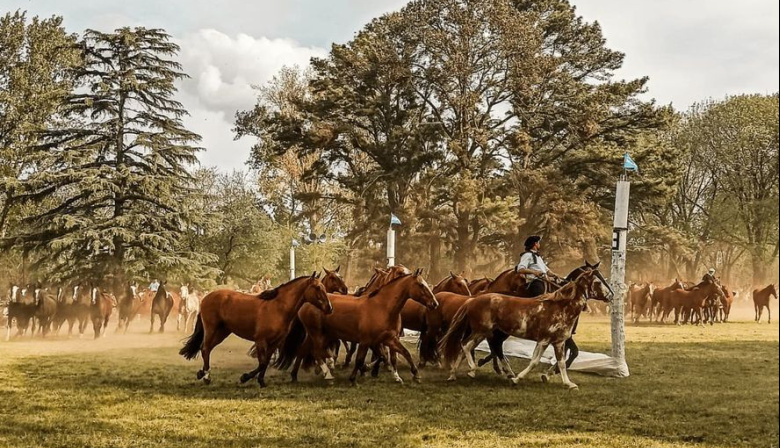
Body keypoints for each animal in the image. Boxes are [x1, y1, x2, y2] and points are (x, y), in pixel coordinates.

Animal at [180, 272, 332, 387]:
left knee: (207, 349)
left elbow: (266, 362)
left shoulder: (274, 343)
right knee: (205, 349)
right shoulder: (261, 341)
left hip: (222, 332)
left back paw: (202, 373)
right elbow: (262, 362)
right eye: (317, 287)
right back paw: (206, 377)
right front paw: (245, 377)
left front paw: (261, 381)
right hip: (211, 329)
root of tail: (206, 298)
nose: (329, 308)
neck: (278, 308)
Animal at [275, 269, 438, 385]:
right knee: (316, 352)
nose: (435, 303)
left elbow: (401, 354)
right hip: (317, 334)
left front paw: (414, 375)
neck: (383, 307)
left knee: (303, 351)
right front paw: (354, 378)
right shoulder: (366, 341)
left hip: (315, 334)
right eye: (421, 285)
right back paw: (328, 375)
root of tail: (306, 302)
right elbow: (361, 359)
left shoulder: (389, 339)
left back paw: (295, 376)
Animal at [439, 269, 612, 390]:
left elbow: (561, 363)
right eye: (598, 282)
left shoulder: (557, 342)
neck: (561, 307)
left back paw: (455, 374)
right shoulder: (545, 340)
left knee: (469, 346)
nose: (610, 296)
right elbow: (535, 361)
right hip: (481, 331)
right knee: (466, 345)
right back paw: (472, 369)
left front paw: (568, 383)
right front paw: (516, 379)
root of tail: (472, 300)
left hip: (484, 332)